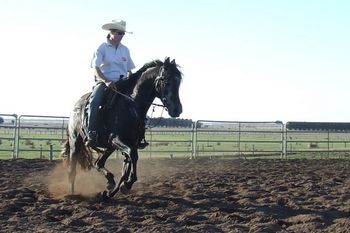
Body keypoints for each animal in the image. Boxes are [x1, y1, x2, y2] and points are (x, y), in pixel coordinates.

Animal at [60, 57, 183, 199]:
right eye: (167, 81)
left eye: (179, 82)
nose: (177, 110)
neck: (131, 106)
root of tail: (76, 106)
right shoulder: (117, 139)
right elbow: (133, 156)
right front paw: (127, 184)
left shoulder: (129, 143)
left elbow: (126, 167)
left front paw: (115, 190)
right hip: (76, 142)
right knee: (72, 168)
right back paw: (72, 193)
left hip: (109, 147)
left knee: (98, 163)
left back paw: (110, 182)